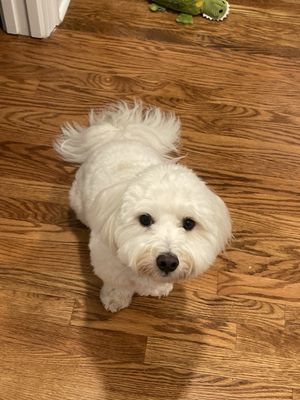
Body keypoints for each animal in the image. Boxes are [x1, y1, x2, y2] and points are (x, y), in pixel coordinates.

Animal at [55, 101, 231, 312]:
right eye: (145, 219)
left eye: (189, 223)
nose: (167, 262)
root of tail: (120, 136)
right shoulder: (109, 268)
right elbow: (117, 285)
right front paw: (115, 299)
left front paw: (159, 288)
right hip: (77, 200)